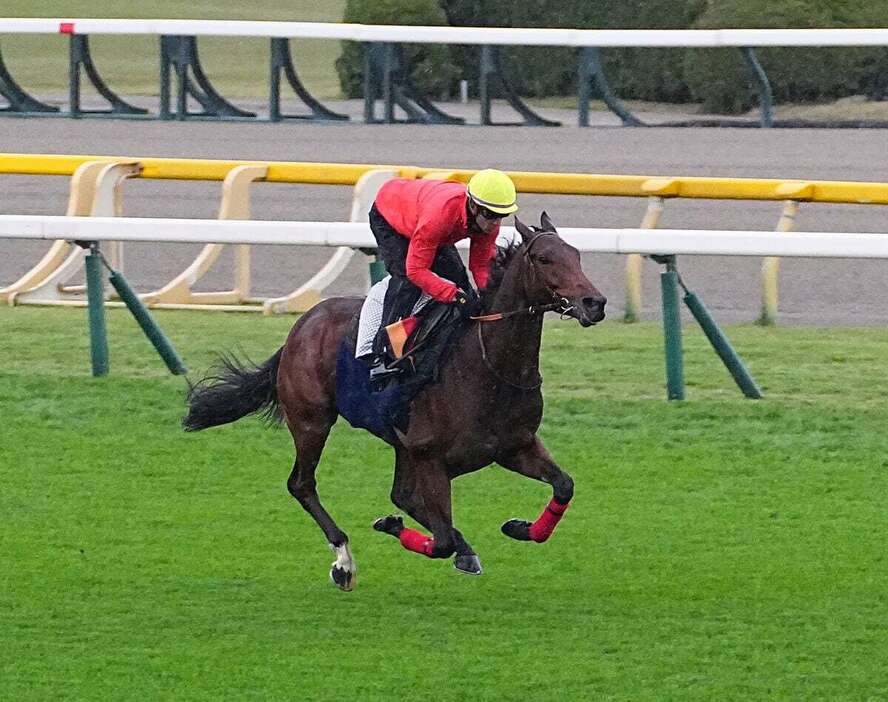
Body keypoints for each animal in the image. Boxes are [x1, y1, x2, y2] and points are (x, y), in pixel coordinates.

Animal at [184, 212, 608, 592]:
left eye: (576, 254)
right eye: (544, 258)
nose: (595, 302)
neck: (487, 365)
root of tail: (301, 326)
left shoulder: (513, 446)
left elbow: (564, 486)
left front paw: (518, 527)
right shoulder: (431, 456)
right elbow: (440, 540)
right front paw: (392, 528)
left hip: (399, 444)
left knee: (400, 494)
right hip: (312, 420)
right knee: (302, 485)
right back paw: (344, 562)